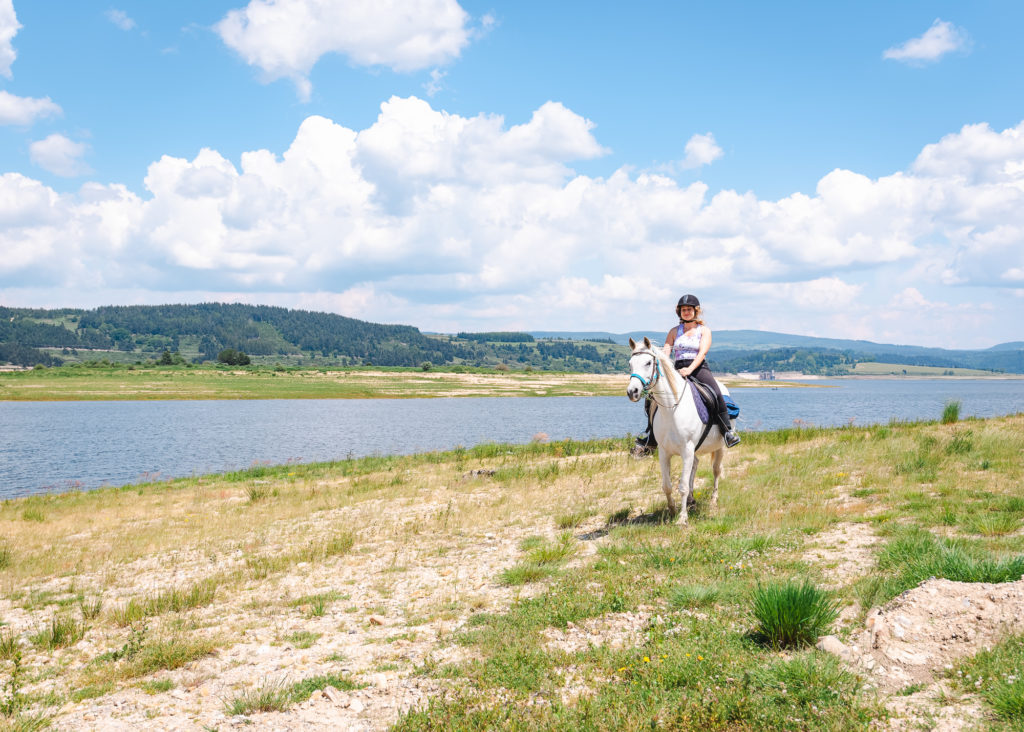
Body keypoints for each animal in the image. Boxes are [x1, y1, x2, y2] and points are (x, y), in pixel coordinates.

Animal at [626, 337, 724, 528]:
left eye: (648, 363)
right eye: (630, 364)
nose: (632, 392)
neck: (671, 409)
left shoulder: (687, 450)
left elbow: (683, 486)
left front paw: (682, 518)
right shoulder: (664, 452)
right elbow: (667, 485)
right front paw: (671, 510)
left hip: (720, 447)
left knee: (716, 471)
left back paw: (714, 500)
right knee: (695, 465)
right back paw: (692, 500)